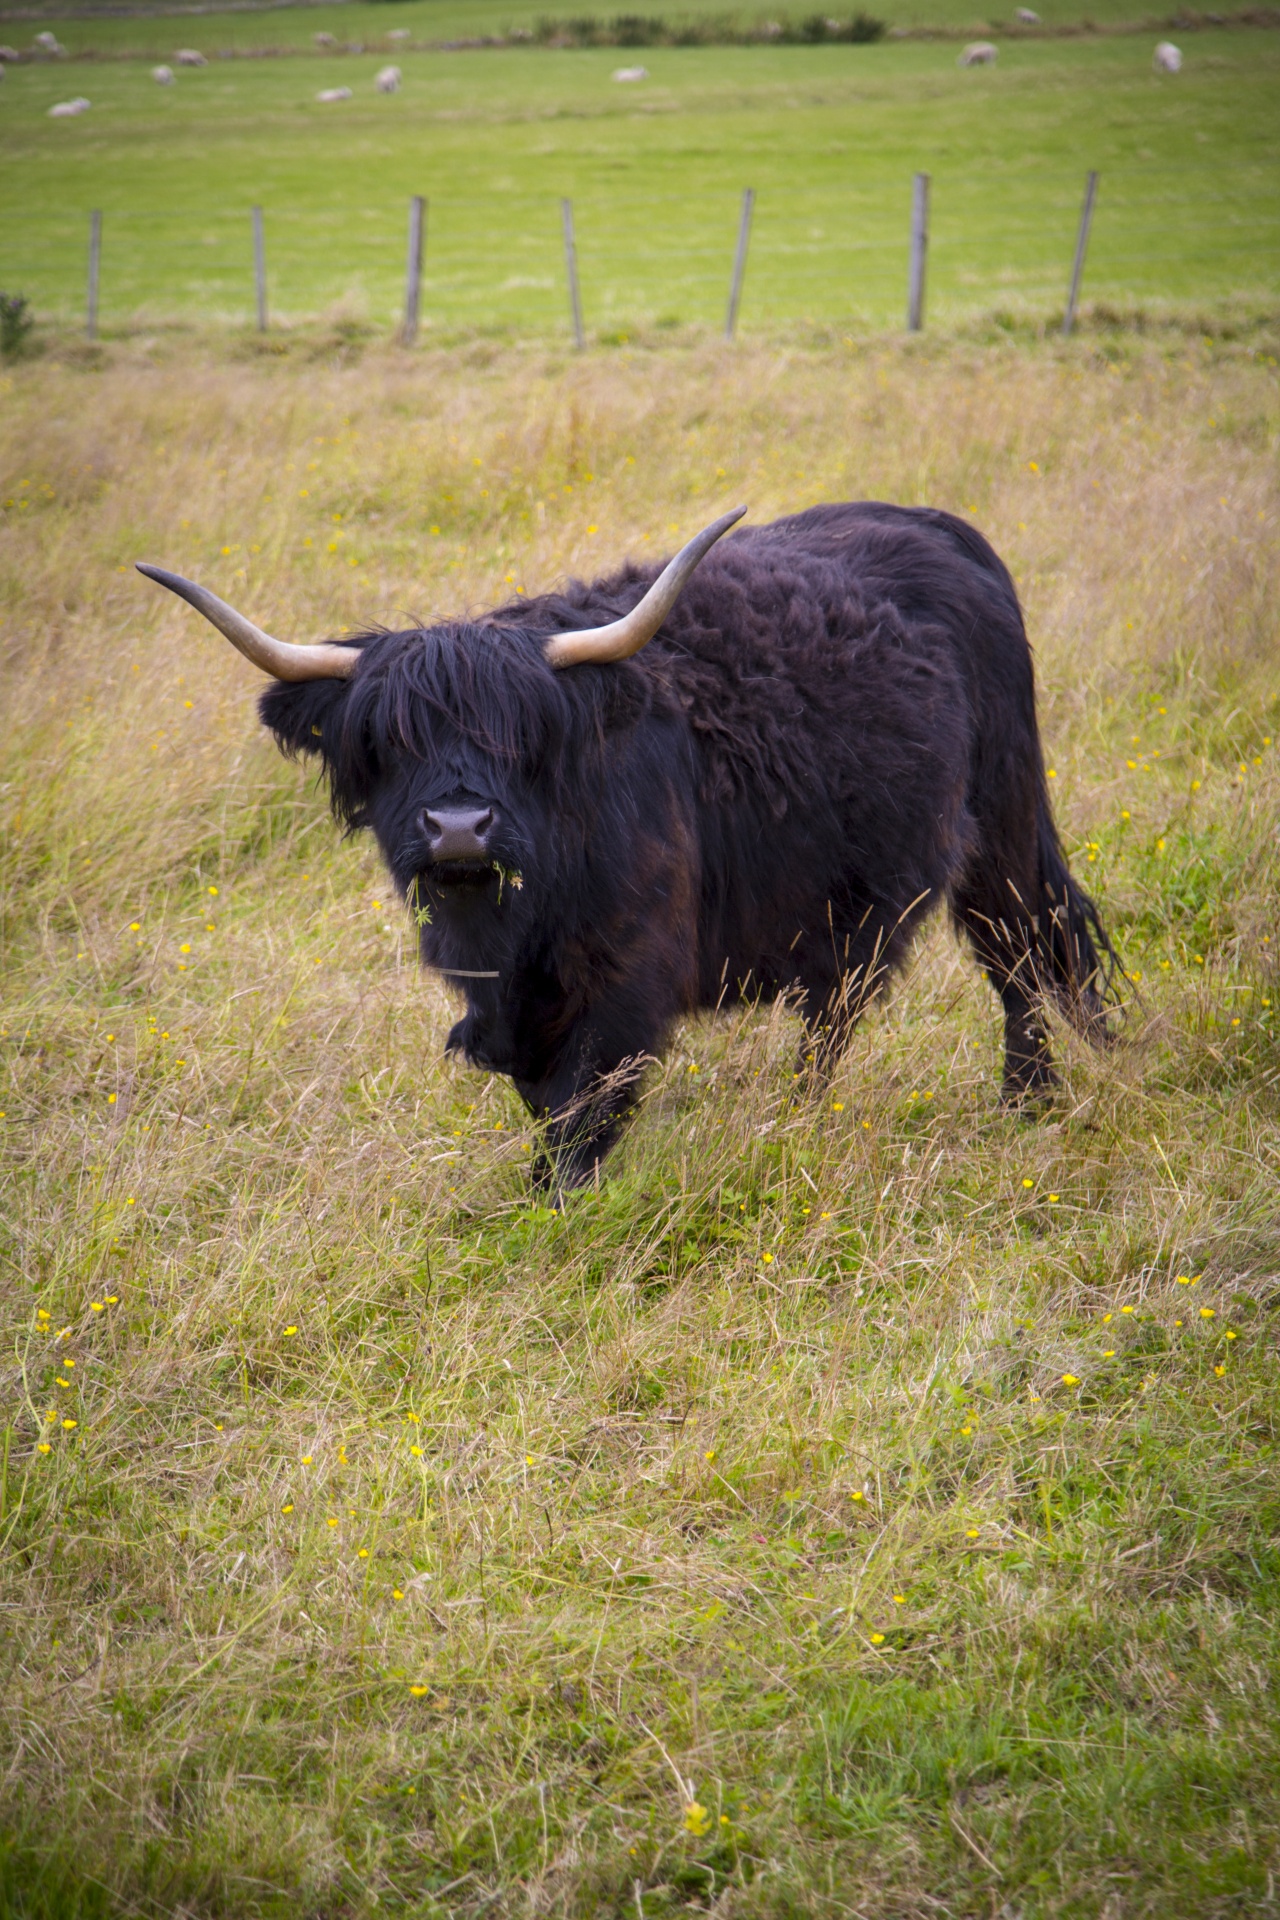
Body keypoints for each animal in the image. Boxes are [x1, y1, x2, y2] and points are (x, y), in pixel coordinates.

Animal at [142, 499, 1120, 1182]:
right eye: (387, 739)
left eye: (525, 735)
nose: (458, 827)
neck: (516, 928)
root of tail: (935, 526)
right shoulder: (512, 1004)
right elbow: (542, 1099)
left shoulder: (626, 979)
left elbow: (585, 1108)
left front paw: (557, 1203)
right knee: (841, 1009)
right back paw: (806, 1115)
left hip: (1001, 826)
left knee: (1023, 954)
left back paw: (1031, 1100)